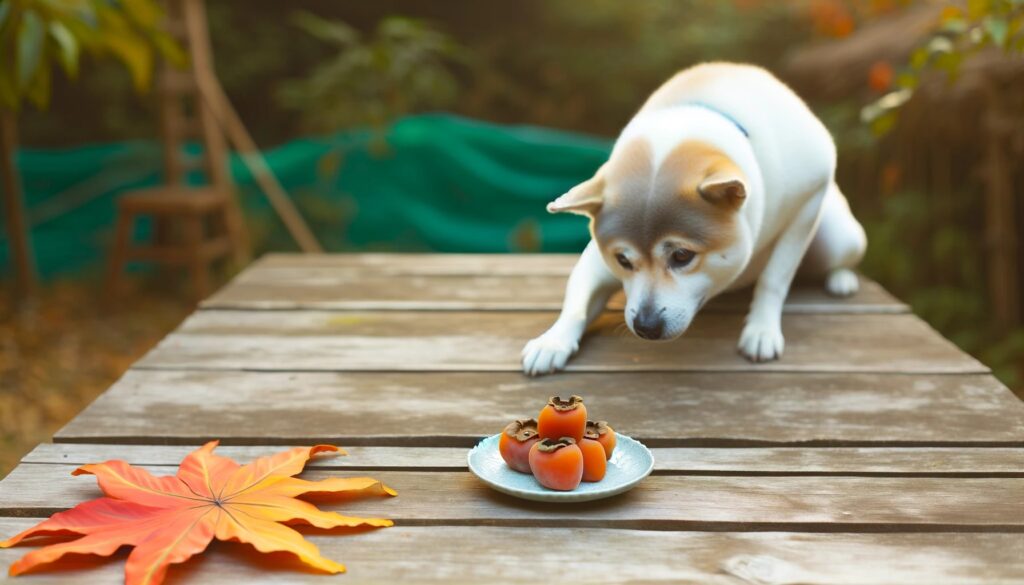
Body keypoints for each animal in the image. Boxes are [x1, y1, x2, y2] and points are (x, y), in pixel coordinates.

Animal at [524, 63, 868, 374]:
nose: (646, 326)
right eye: (622, 260)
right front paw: (551, 341)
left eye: (681, 256)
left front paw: (761, 330)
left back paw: (841, 279)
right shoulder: (596, 259)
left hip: (840, 238)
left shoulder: (808, 199)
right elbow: (577, 301)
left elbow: (774, 279)